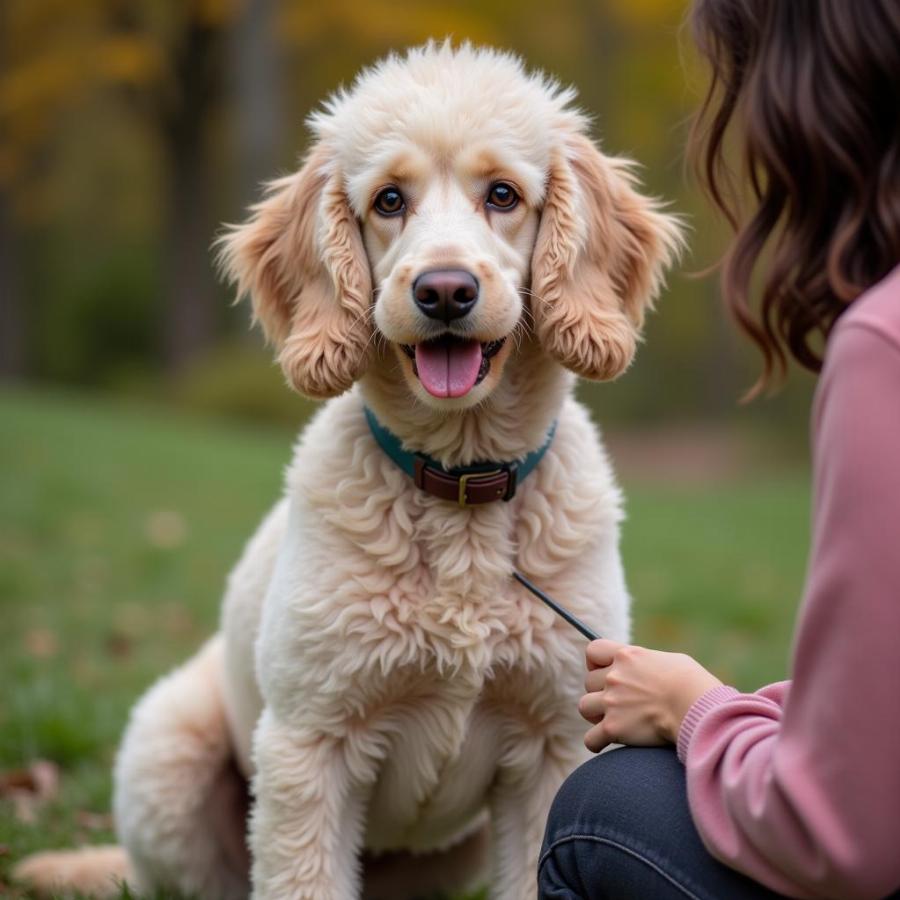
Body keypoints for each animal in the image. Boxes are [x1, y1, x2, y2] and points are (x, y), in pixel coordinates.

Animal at [15, 38, 684, 896]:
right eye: (388, 200)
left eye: (503, 194)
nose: (443, 291)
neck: (459, 489)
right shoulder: (310, 744)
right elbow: (302, 877)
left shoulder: (554, 744)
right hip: (170, 755)